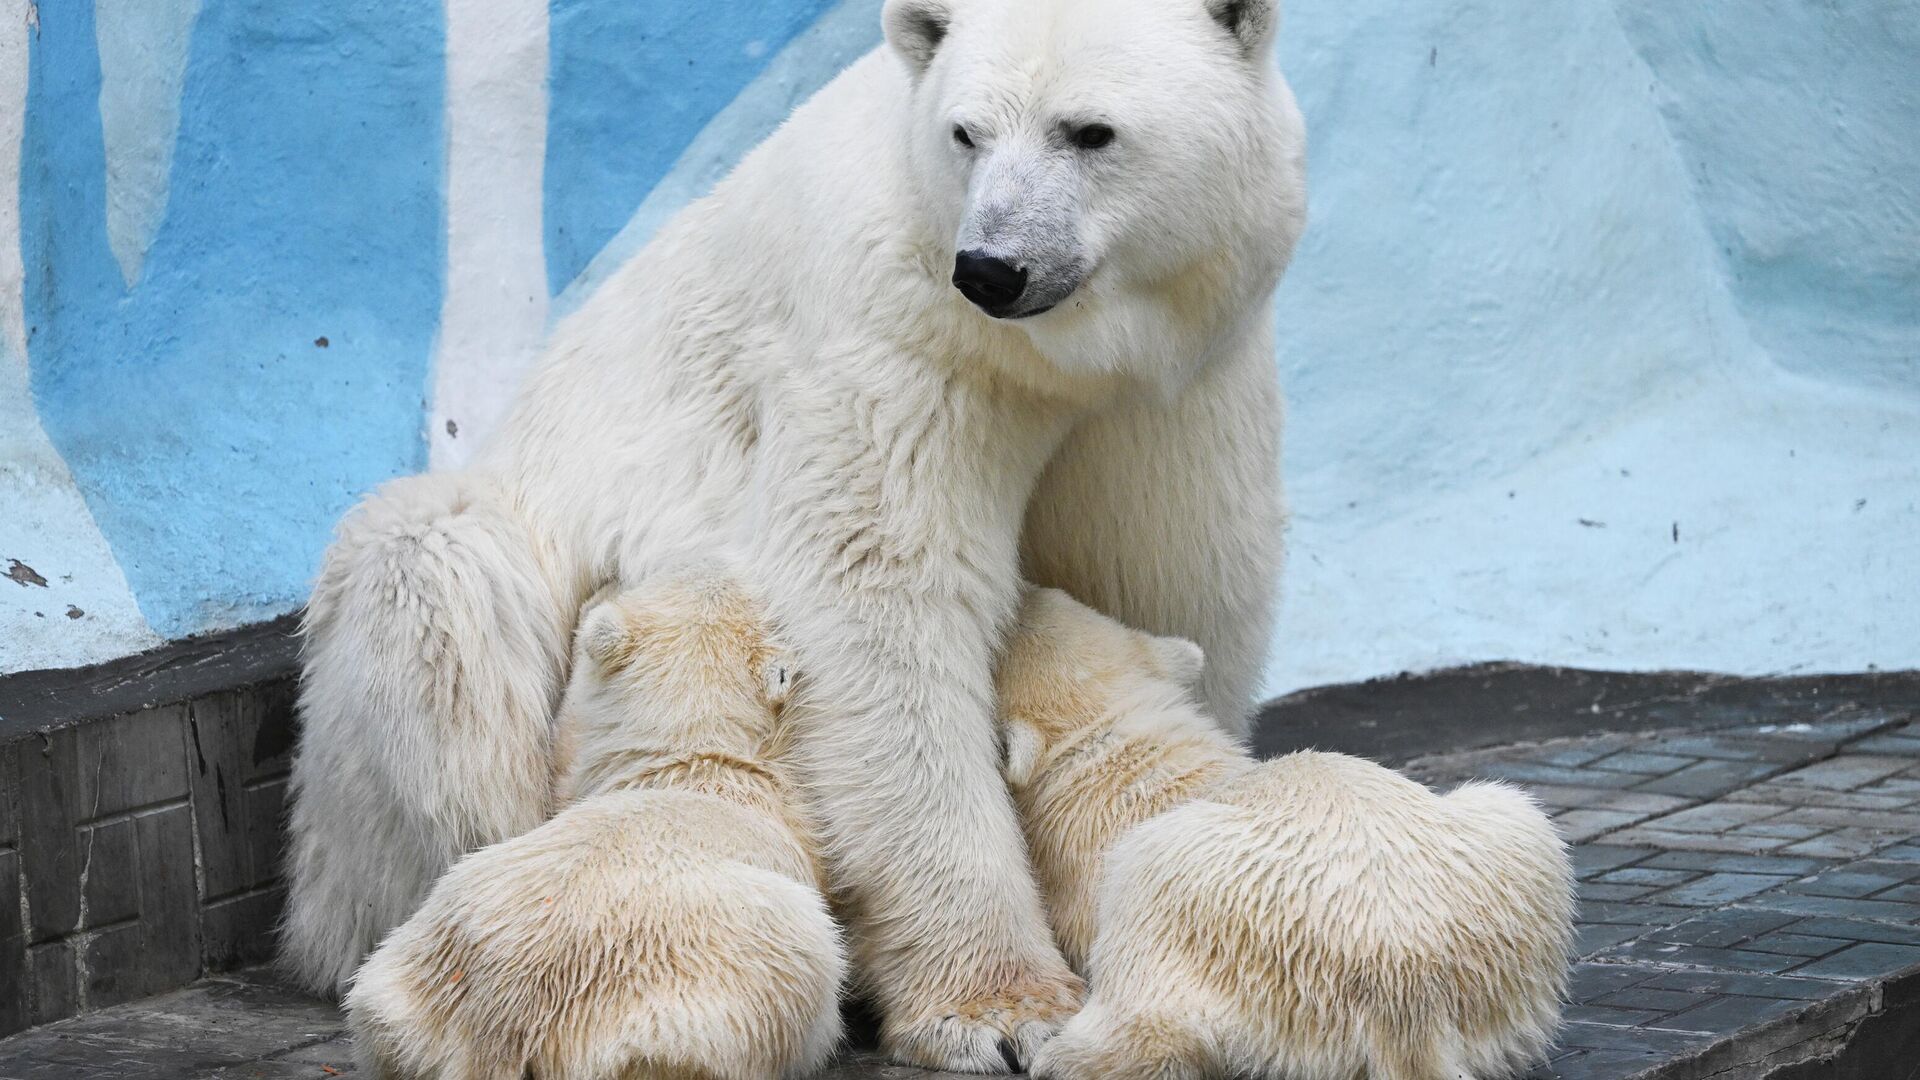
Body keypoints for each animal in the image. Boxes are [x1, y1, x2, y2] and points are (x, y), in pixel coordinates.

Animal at [998, 588, 1566, 1076]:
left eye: (1013, 626)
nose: (1024, 586)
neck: (1131, 760)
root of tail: (1405, 992)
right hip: (1506, 907)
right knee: (1514, 807)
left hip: (1208, 906)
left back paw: (1064, 1054)